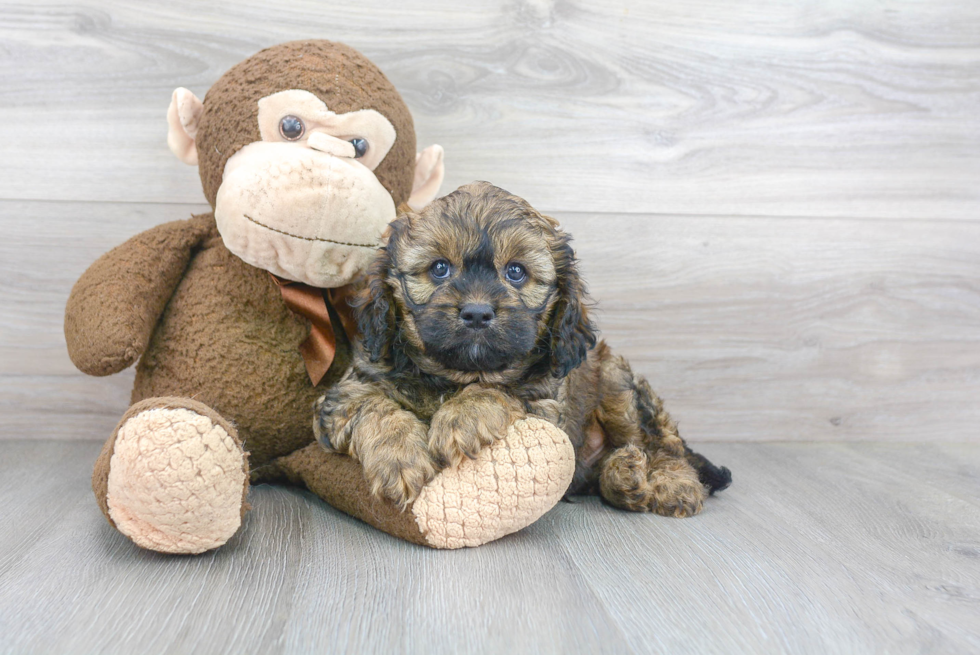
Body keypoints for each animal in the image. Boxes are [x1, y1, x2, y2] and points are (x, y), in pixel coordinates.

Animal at [312, 182, 728, 516]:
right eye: (440, 268)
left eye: (515, 272)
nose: (477, 313)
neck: (454, 376)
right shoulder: (344, 395)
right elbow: (375, 407)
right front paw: (400, 460)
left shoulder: (545, 407)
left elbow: (500, 390)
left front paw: (462, 417)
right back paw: (624, 476)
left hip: (618, 385)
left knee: (663, 447)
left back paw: (668, 483)